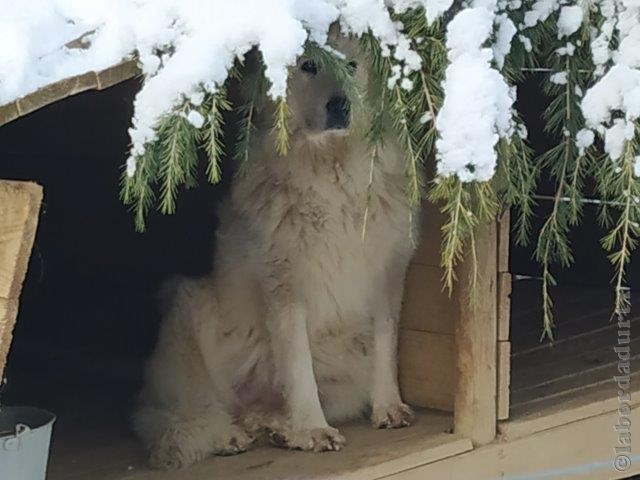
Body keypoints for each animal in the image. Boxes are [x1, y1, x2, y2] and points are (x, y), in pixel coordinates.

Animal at [132, 39, 418, 470]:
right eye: (309, 65)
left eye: (351, 65)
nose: (340, 105)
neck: (330, 174)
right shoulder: (284, 287)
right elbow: (298, 369)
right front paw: (313, 429)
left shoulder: (387, 276)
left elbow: (386, 348)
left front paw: (388, 407)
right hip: (192, 306)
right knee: (196, 412)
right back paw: (230, 436)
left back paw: (276, 428)